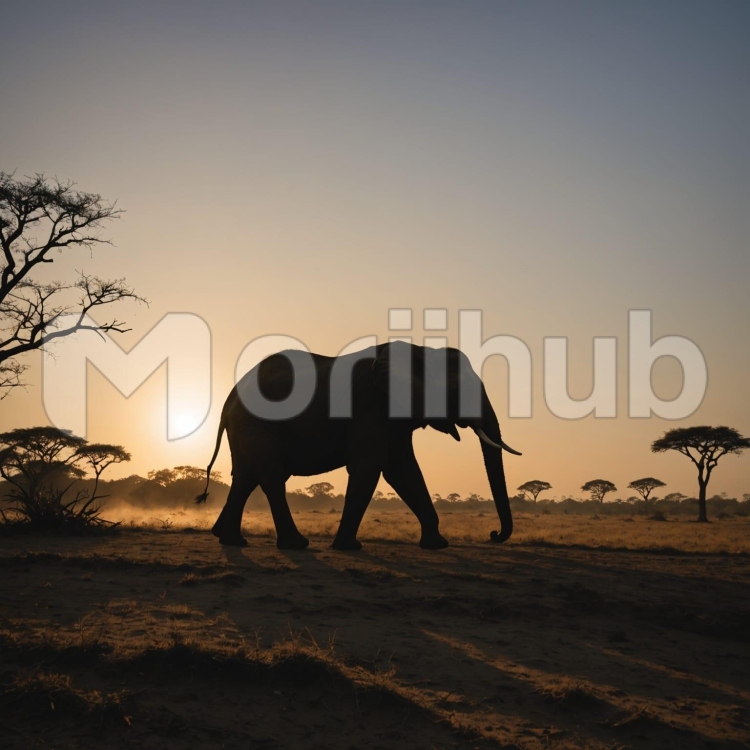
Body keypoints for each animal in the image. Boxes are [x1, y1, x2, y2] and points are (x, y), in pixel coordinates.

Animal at [197, 341, 521, 550]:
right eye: (457, 391)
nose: (494, 534)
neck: (421, 351)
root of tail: (230, 396)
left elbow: (404, 470)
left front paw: (437, 545)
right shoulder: (370, 407)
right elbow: (370, 469)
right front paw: (348, 548)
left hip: (247, 428)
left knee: (245, 477)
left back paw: (230, 540)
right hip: (259, 424)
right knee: (271, 477)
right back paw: (296, 545)